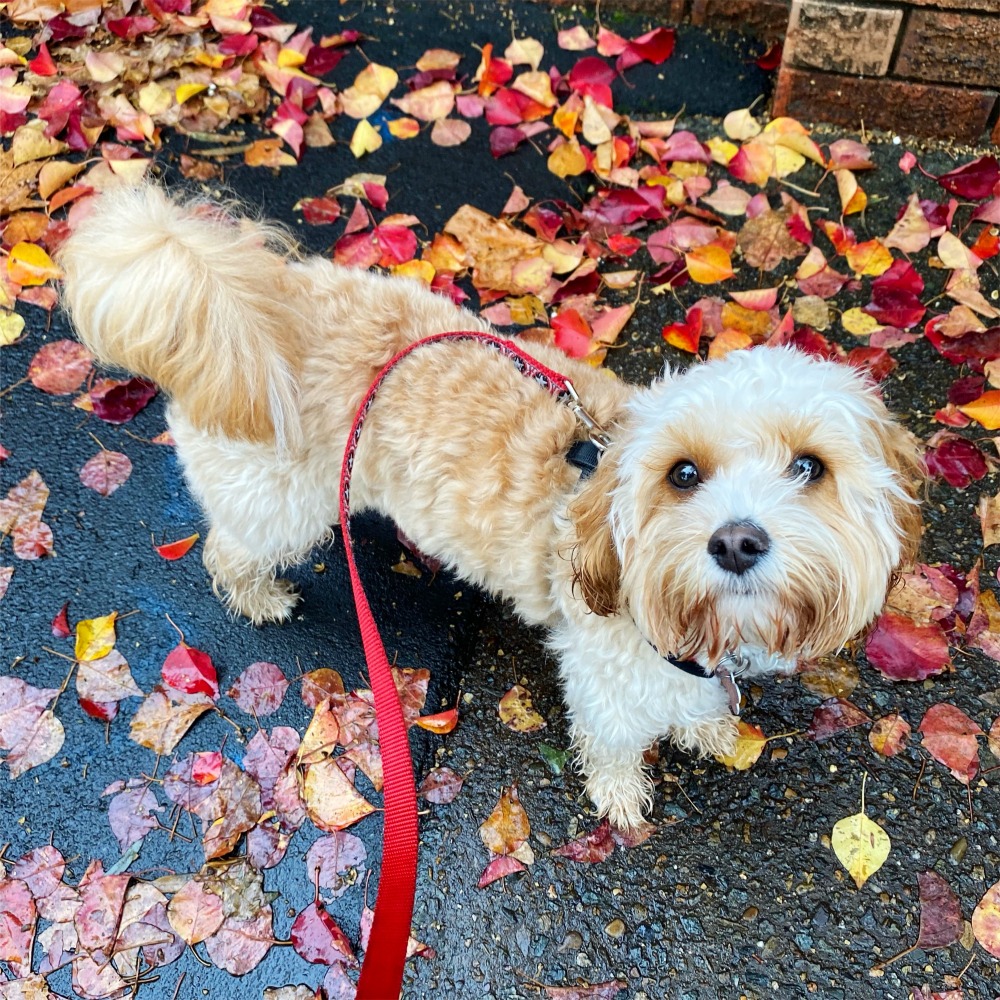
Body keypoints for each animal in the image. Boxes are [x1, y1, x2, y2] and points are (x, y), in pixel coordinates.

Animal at [60, 186, 920, 828]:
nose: (738, 542)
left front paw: (708, 725)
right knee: (229, 549)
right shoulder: (607, 677)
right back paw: (259, 594)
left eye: (810, 467)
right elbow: (614, 742)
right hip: (280, 501)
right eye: (683, 474)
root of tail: (245, 298)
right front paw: (623, 794)